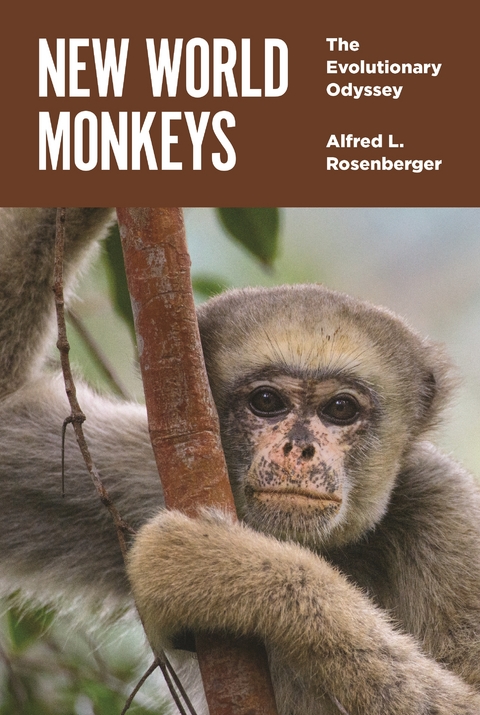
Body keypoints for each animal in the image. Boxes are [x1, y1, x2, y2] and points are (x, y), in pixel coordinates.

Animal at [1, 207, 480, 714]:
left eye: (340, 409)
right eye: (267, 402)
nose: (299, 448)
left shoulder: (445, 506)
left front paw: (223, 567)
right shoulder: (148, 470)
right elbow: (6, 412)